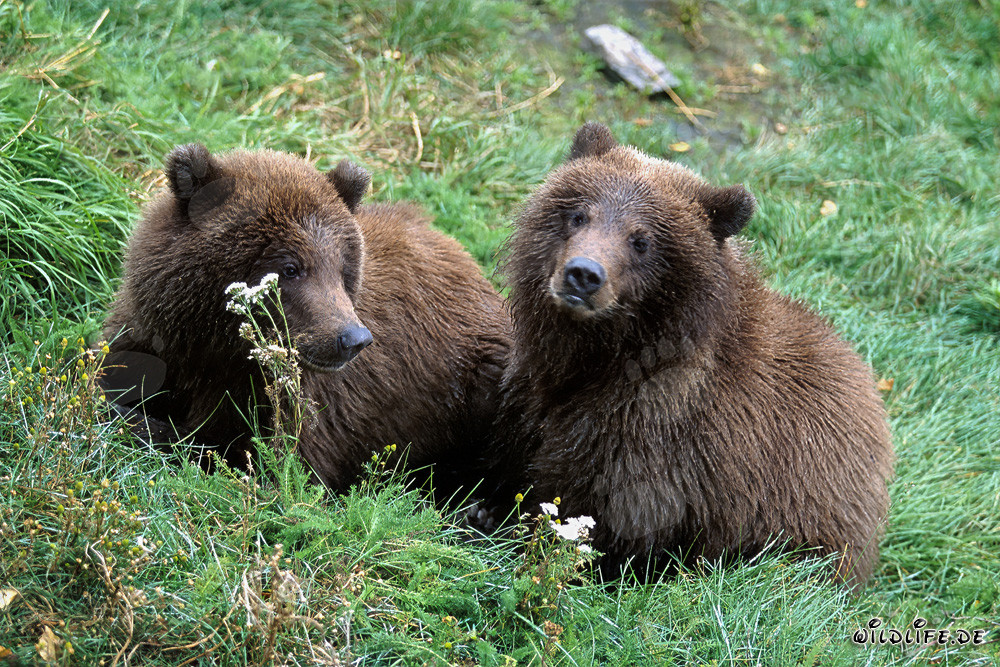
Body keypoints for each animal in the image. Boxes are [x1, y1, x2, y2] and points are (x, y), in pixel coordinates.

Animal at [102, 144, 510, 496]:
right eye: (291, 267)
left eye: (343, 269)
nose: (353, 339)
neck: (214, 348)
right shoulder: (154, 338)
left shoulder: (309, 399)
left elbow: (277, 465)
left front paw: (150, 426)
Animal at [487, 122, 894, 588]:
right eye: (578, 214)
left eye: (641, 240)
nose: (583, 274)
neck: (603, 357)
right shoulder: (531, 393)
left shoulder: (655, 439)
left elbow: (599, 513)